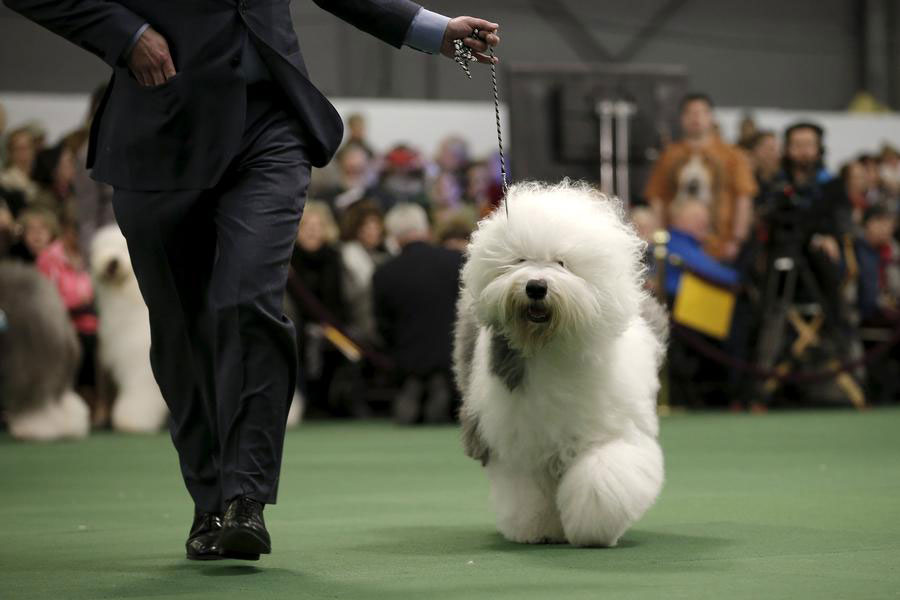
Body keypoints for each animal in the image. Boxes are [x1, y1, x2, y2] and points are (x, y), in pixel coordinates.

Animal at [91, 225, 169, 432]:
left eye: (125, 247)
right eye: (106, 246)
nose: (113, 262)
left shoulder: (141, 366)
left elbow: (139, 394)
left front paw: (131, 419)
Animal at [458, 179, 668, 548]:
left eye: (562, 263)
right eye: (520, 259)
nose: (535, 287)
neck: (552, 346)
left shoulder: (612, 431)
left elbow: (601, 478)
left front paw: (593, 527)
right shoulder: (522, 444)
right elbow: (527, 492)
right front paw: (536, 529)